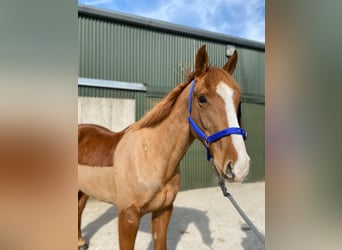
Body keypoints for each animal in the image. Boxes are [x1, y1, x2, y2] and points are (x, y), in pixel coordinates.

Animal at [78, 45, 248, 250]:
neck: (151, 157)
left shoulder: (164, 211)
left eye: (238, 100)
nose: (240, 166)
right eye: (202, 98)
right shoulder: (128, 218)